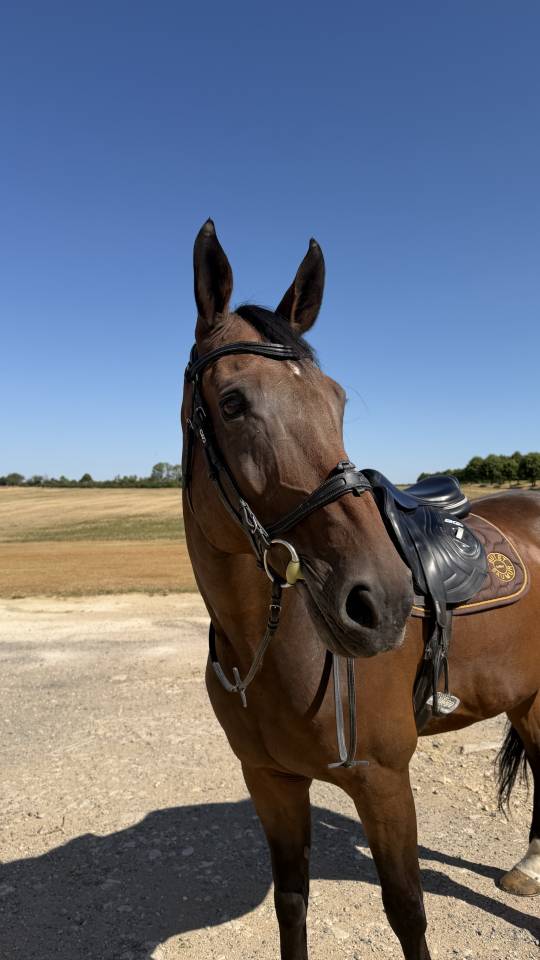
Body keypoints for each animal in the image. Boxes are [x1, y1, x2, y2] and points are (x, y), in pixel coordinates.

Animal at [181, 219, 540, 960]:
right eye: (232, 402)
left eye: (337, 400)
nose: (381, 602)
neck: (270, 648)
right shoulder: (270, 782)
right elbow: (291, 905)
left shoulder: (383, 780)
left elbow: (407, 911)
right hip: (525, 697)